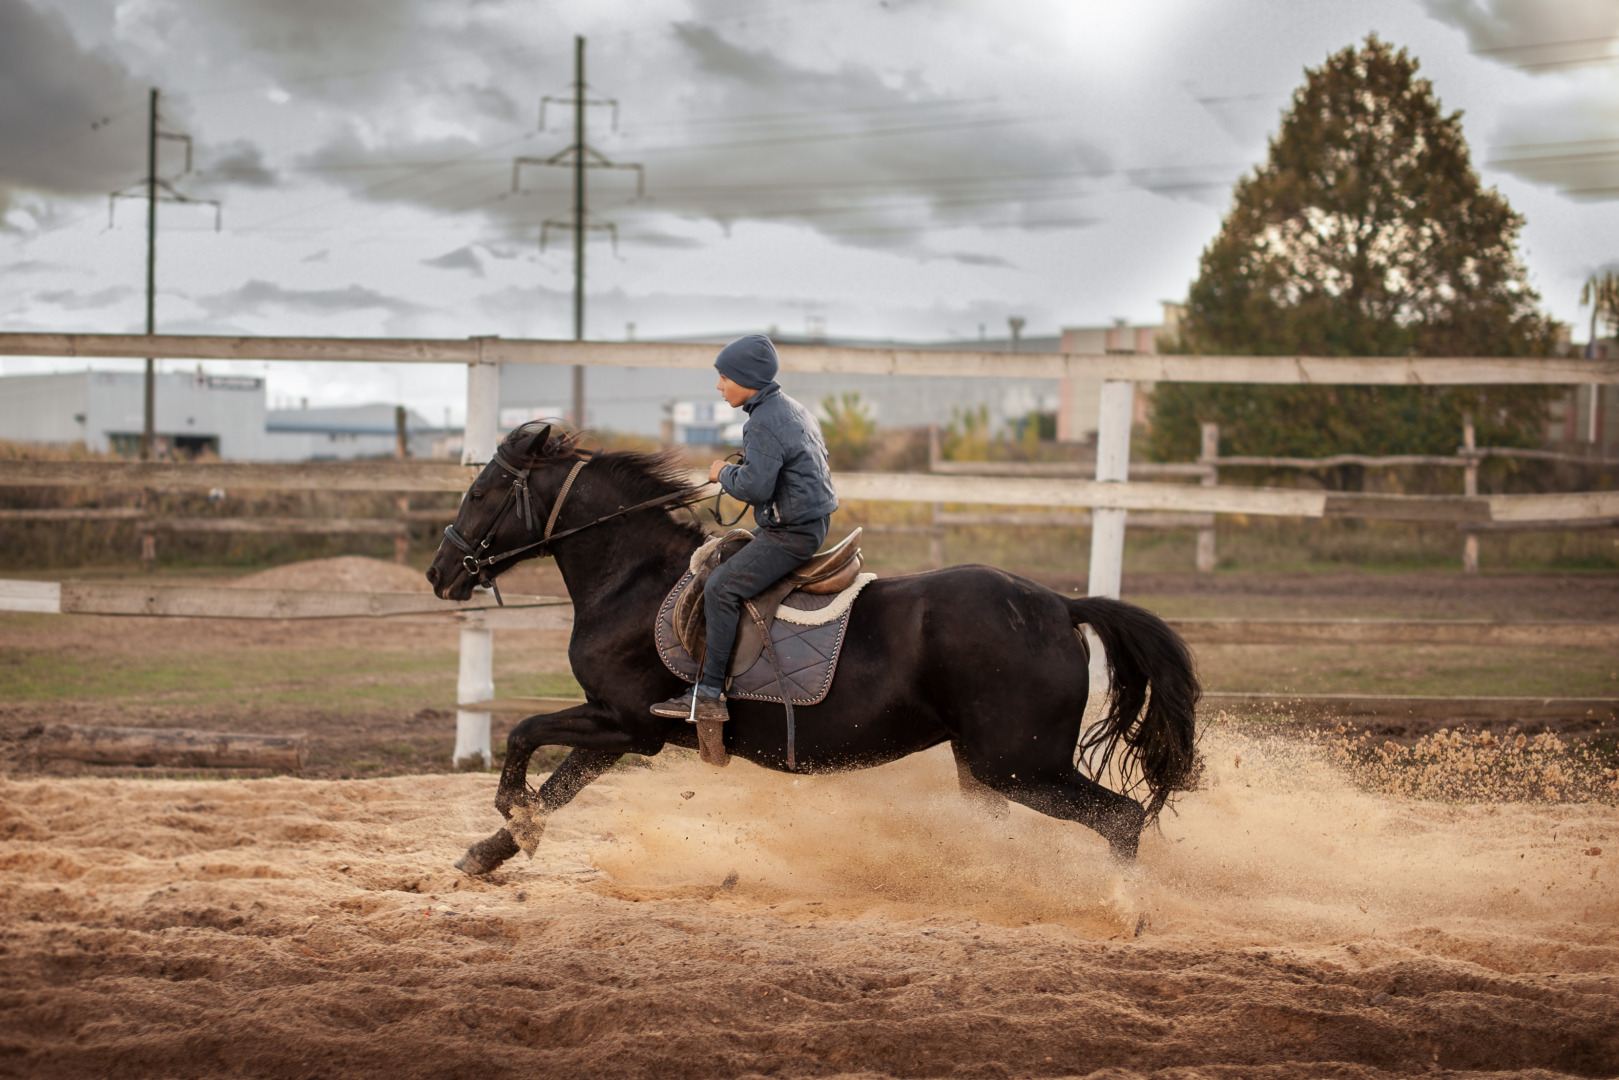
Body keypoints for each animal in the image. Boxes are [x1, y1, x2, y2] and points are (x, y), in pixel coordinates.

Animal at [430, 420, 1204, 880]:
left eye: (481, 490)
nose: (440, 573)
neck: (634, 577)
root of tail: (1059, 605)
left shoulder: (627, 723)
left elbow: (525, 736)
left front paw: (510, 816)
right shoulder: (614, 730)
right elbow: (557, 788)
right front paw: (493, 848)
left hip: (1021, 764)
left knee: (1121, 819)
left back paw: (1123, 909)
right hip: (987, 767)